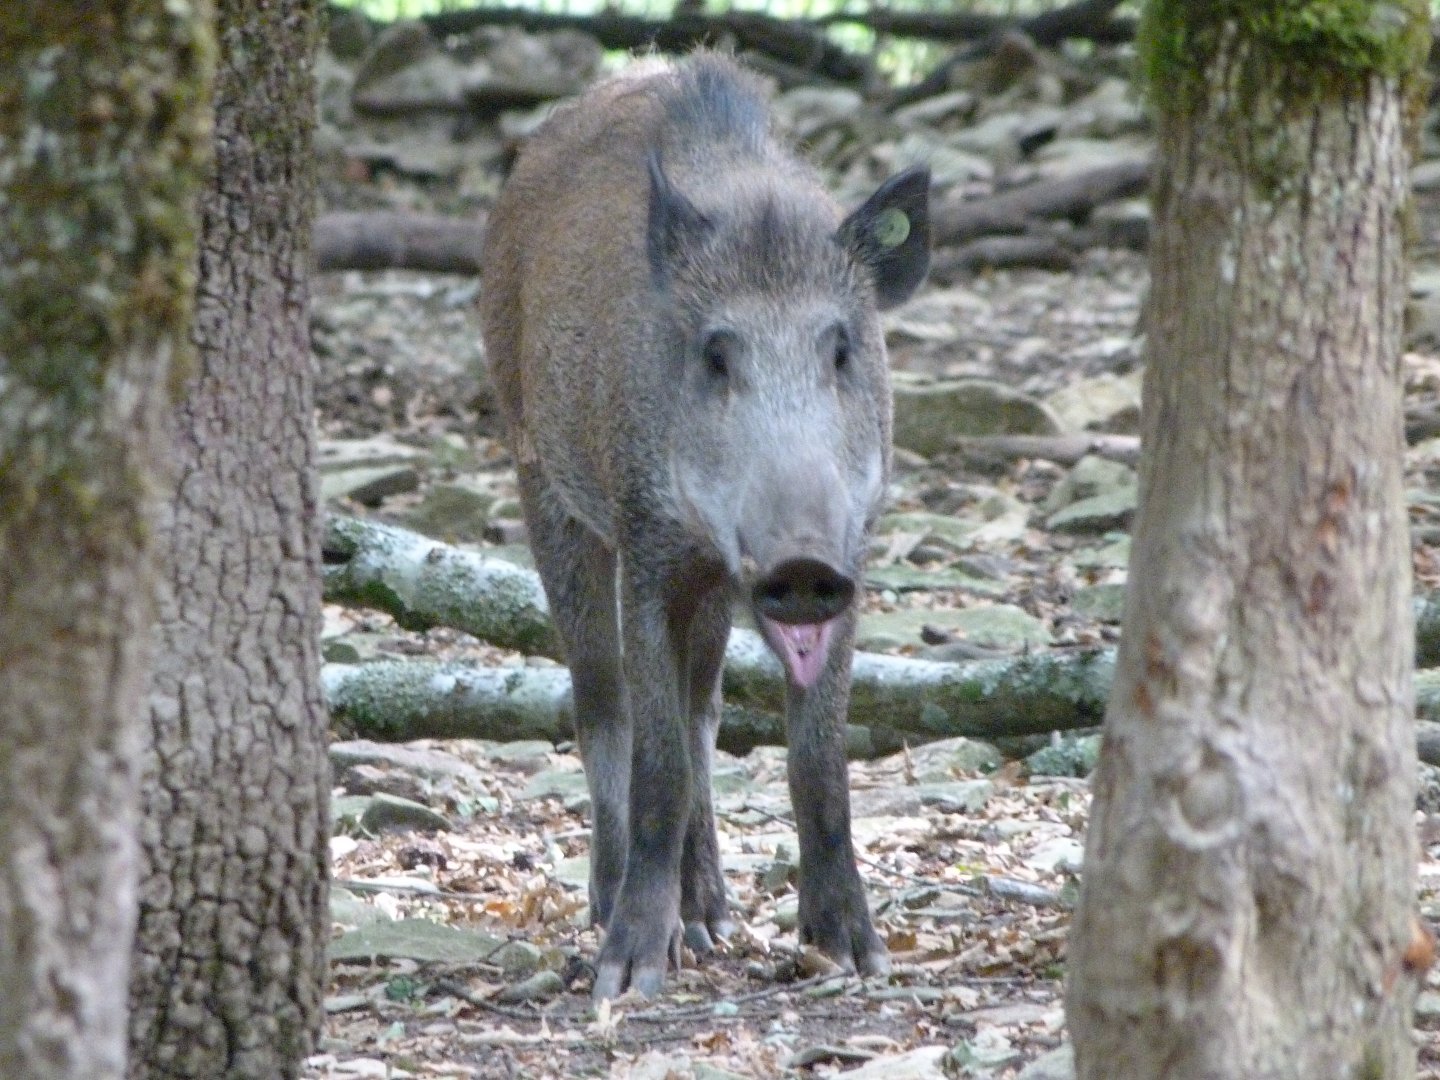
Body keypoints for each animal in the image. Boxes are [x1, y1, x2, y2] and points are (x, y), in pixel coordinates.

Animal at [480, 51, 929, 1000]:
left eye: (842, 349)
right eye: (716, 354)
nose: (800, 560)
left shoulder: (853, 559)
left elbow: (816, 761)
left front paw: (855, 957)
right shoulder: (646, 543)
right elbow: (654, 758)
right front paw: (628, 976)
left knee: (703, 710)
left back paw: (711, 921)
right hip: (540, 476)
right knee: (602, 701)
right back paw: (620, 913)